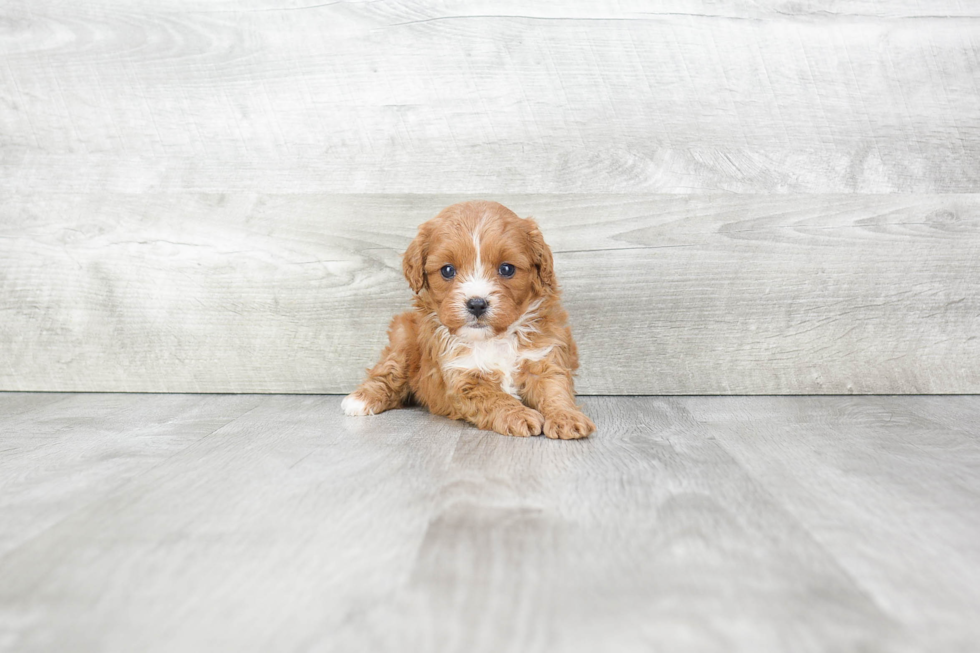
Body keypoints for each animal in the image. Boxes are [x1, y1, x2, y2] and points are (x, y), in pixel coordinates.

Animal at [340, 201, 592, 440]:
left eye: (507, 269)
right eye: (448, 270)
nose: (477, 304)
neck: (492, 339)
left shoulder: (543, 359)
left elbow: (555, 391)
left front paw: (567, 418)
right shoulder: (464, 379)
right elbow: (495, 397)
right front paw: (518, 415)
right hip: (404, 339)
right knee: (388, 372)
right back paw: (361, 399)